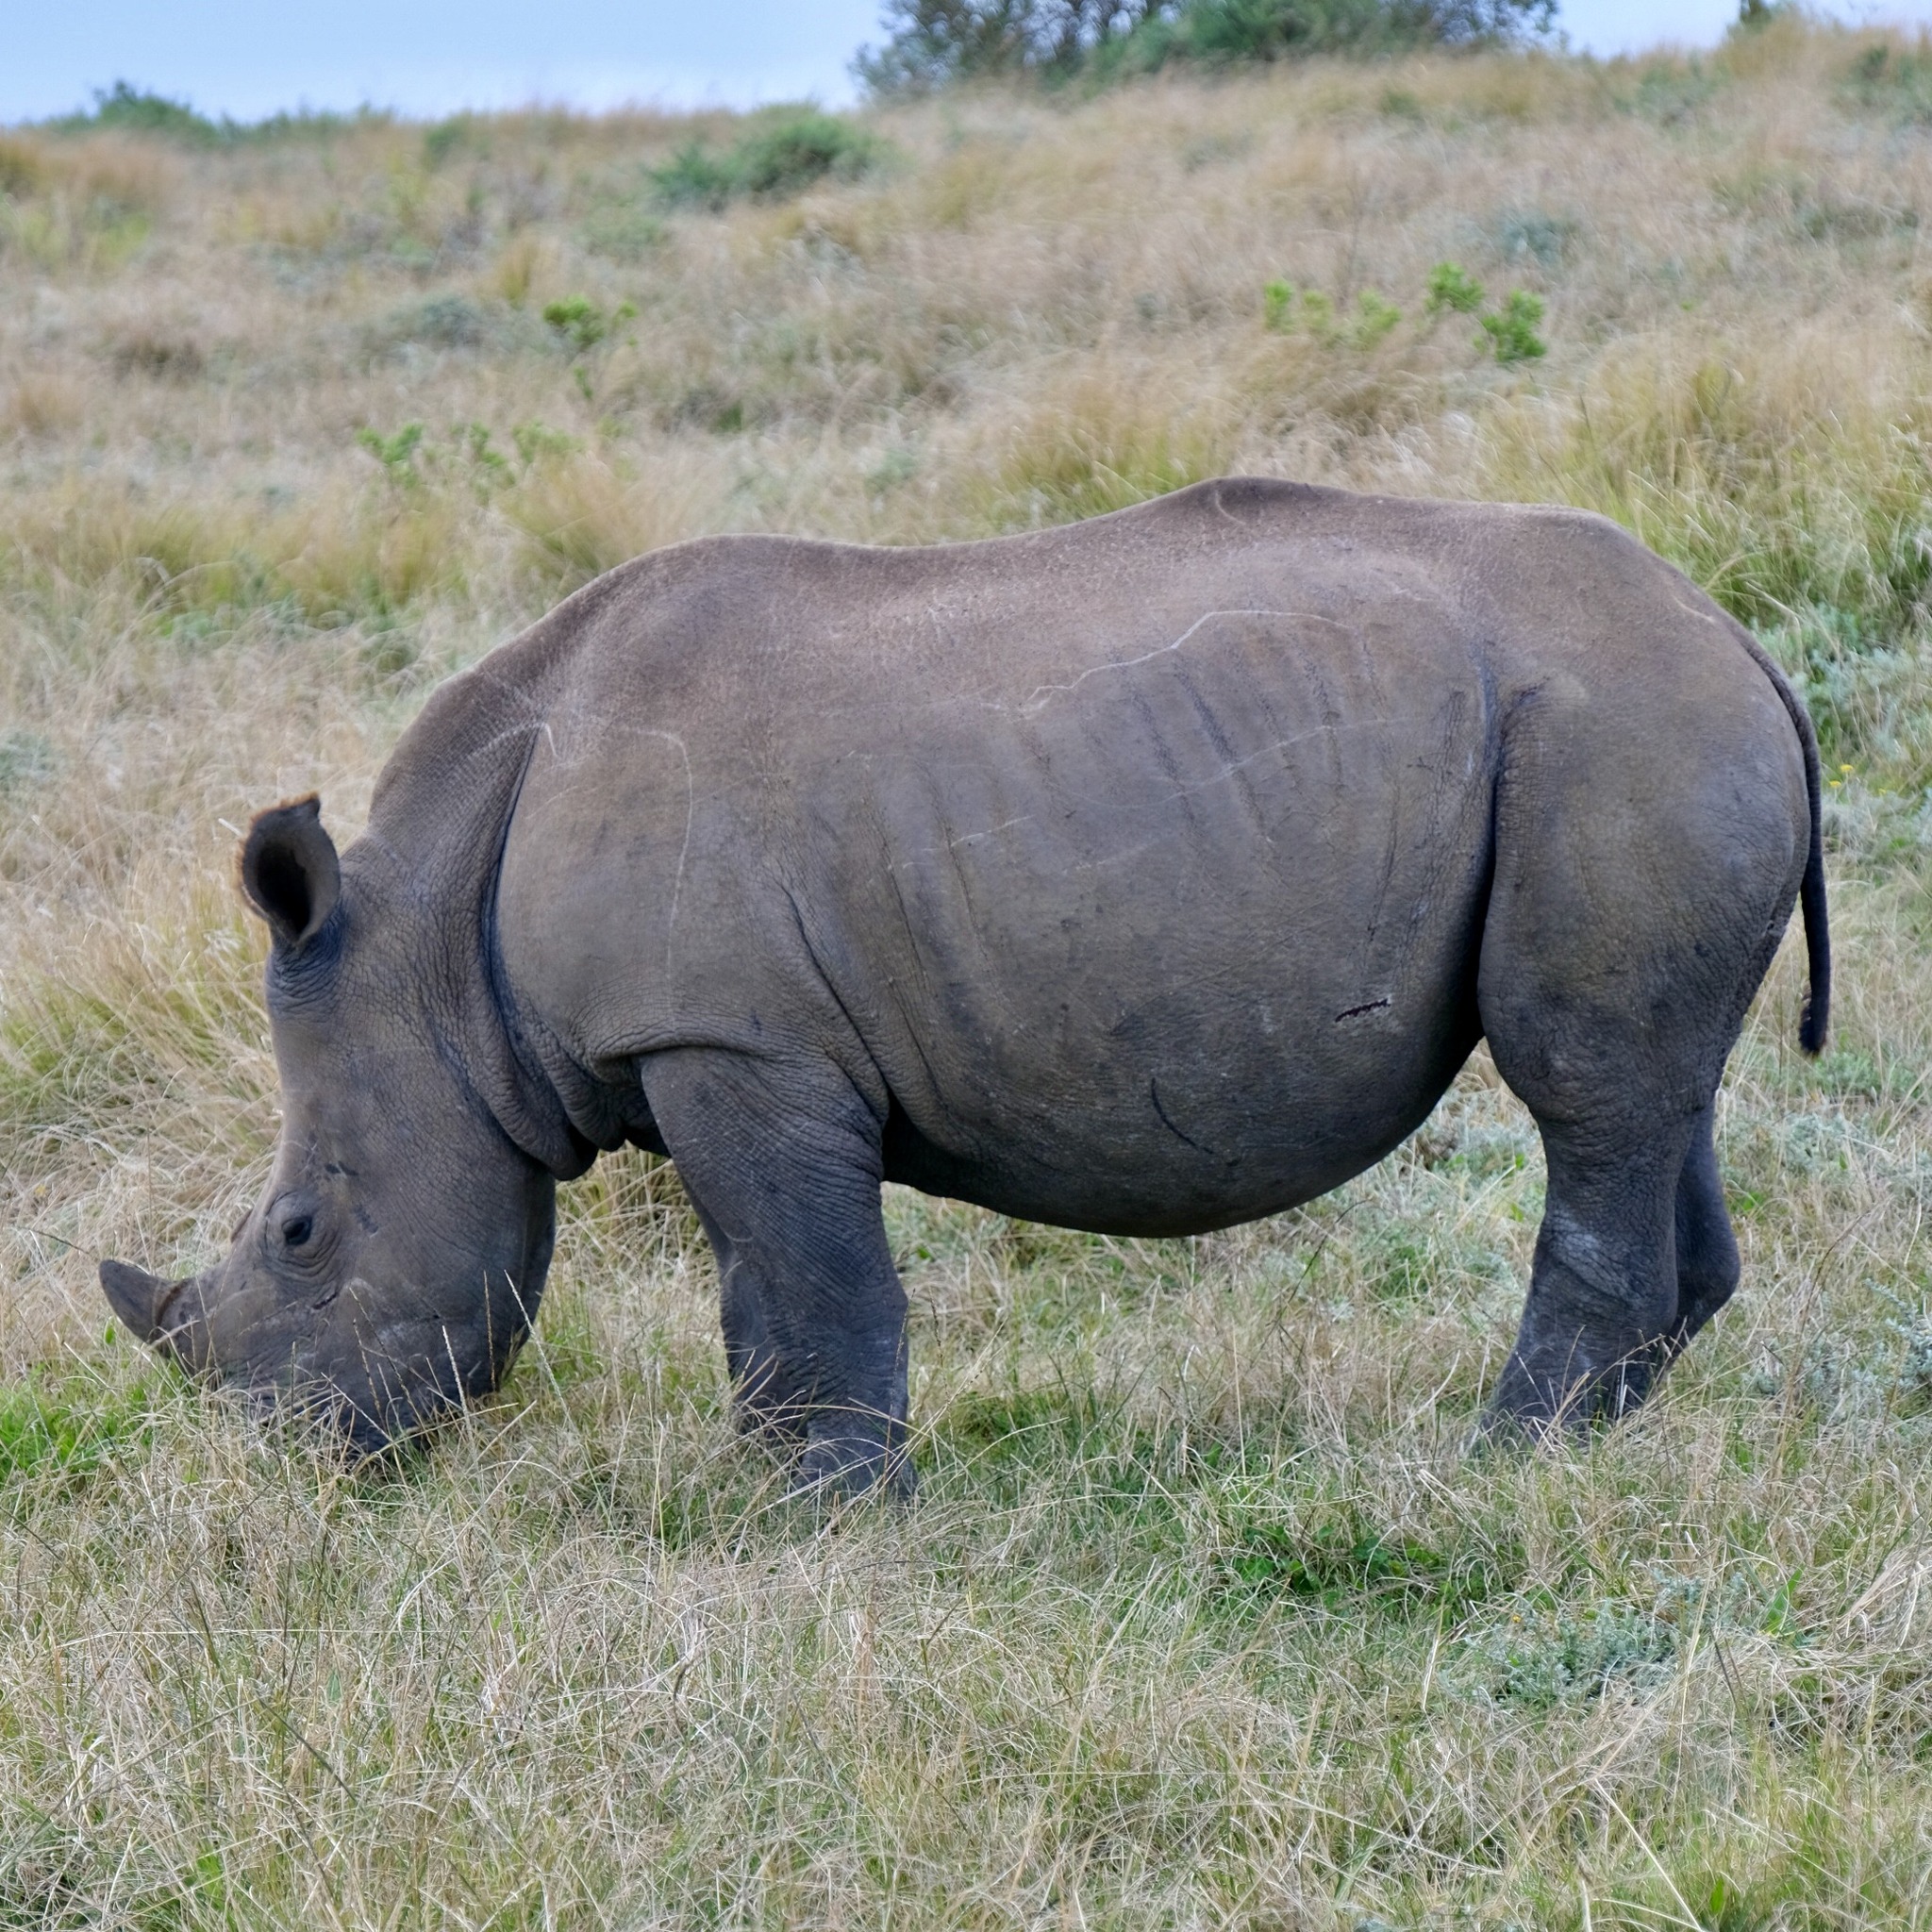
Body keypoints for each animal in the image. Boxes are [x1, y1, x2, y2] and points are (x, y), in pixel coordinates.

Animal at [99, 479, 1829, 1489]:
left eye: (300, 1233)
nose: (286, 1467)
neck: (439, 945)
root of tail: (1739, 639)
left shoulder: (730, 1035)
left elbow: (809, 1278)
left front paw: (816, 1516)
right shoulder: (726, 1039)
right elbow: (776, 1288)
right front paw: (789, 1492)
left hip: (1617, 728)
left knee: (1581, 1091)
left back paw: (1493, 1464)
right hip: (1626, 736)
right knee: (1650, 1092)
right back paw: (1596, 1441)